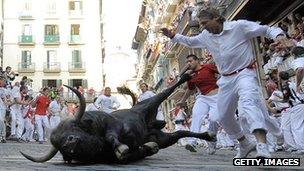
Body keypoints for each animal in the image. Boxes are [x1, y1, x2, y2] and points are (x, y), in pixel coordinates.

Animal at [20, 73, 216, 164]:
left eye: (75, 127)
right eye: (59, 145)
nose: (70, 142)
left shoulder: (114, 125)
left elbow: (113, 136)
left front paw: (121, 146)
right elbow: (130, 154)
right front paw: (148, 148)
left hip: (149, 104)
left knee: (166, 92)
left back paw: (186, 76)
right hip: (165, 138)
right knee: (181, 133)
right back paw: (208, 136)